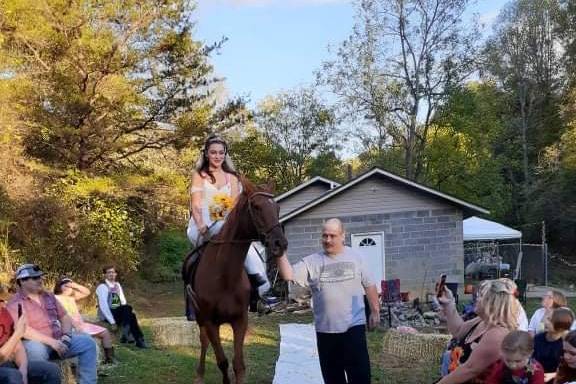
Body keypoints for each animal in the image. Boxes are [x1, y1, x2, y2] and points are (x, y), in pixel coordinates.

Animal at [182, 181, 286, 384]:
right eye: (256, 207)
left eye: (277, 208)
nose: (280, 243)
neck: (224, 277)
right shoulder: (210, 322)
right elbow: (222, 361)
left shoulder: (240, 320)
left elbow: (238, 365)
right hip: (200, 319)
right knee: (203, 341)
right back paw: (199, 374)